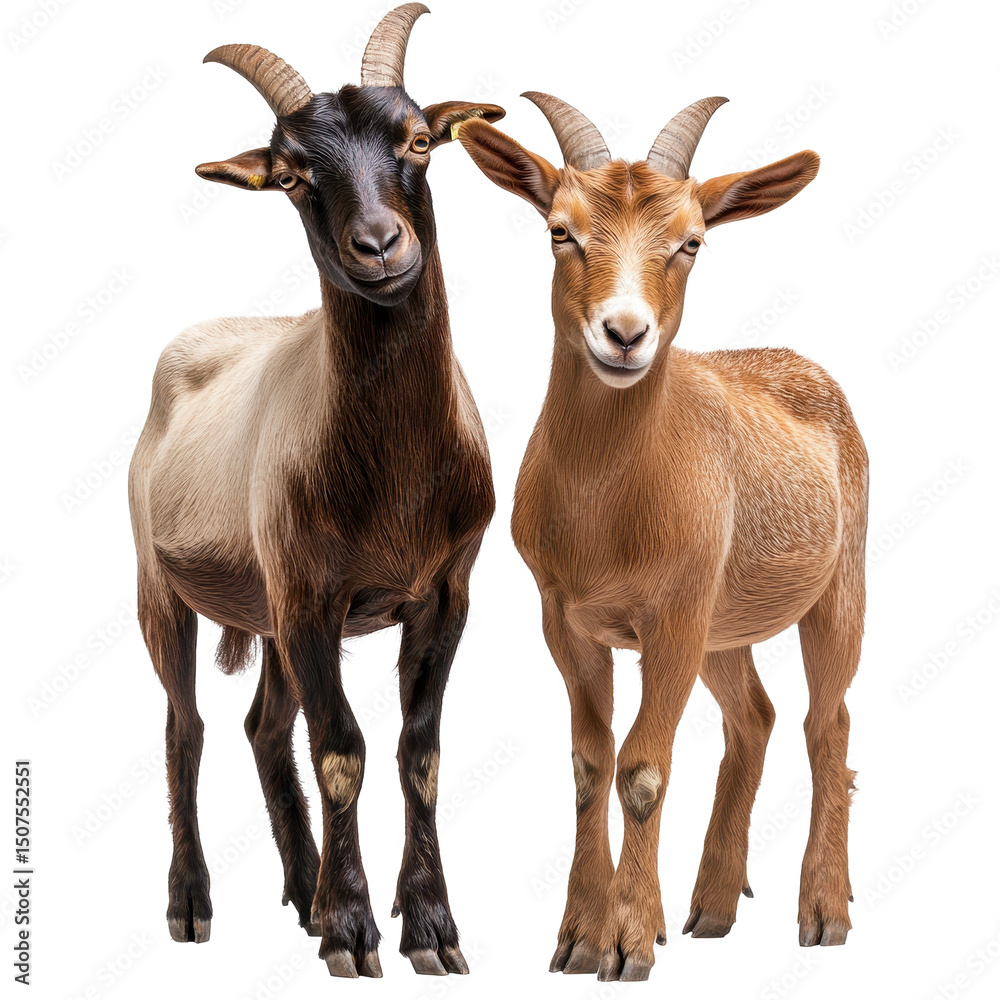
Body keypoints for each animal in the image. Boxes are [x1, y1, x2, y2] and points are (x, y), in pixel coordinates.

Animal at [128, 4, 502, 978]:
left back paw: (304, 889)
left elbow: (418, 752)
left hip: (266, 609)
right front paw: (353, 932)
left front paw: (430, 927)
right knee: (186, 729)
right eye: (293, 175)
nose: (379, 247)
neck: (397, 477)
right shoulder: (310, 596)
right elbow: (342, 750)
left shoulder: (443, 593)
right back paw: (192, 903)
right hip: (165, 588)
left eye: (418, 139)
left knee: (263, 727)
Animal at [457, 95, 867, 981]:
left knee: (828, 724)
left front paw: (627, 941)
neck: (607, 509)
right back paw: (711, 905)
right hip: (723, 626)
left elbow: (643, 770)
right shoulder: (567, 616)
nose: (624, 333)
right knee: (755, 718)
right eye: (560, 230)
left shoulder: (673, 612)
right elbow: (590, 763)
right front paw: (577, 937)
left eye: (691, 241)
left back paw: (823, 910)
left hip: (837, 587)